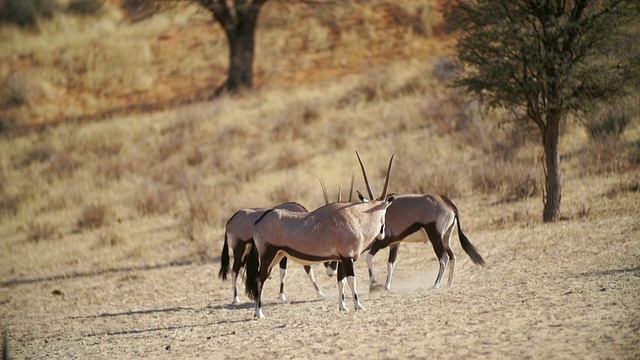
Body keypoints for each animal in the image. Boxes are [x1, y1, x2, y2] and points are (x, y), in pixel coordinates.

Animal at [245, 152, 396, 318]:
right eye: (385, 212)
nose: (383, 234)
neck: (358, 217)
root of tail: (257, 222)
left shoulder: (341, 259)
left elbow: (341, 281)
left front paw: (343, 307)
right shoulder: (347, 257)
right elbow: (352, 280)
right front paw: (358, 305)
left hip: (277, 256)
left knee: (259, 278)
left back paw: (257, 313)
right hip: (268, 256)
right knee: (259, 280)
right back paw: (259, 313)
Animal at [356, 160, 484, 290]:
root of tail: (450, 205)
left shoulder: (383, 242)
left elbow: (368, 257)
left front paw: (373, 284)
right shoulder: (395, 243)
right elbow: (390, 263)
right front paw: (387, 287)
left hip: (435, 237)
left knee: (444, 258)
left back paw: (435, 285)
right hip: (445, 237)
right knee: (452, 256)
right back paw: (449, 283)